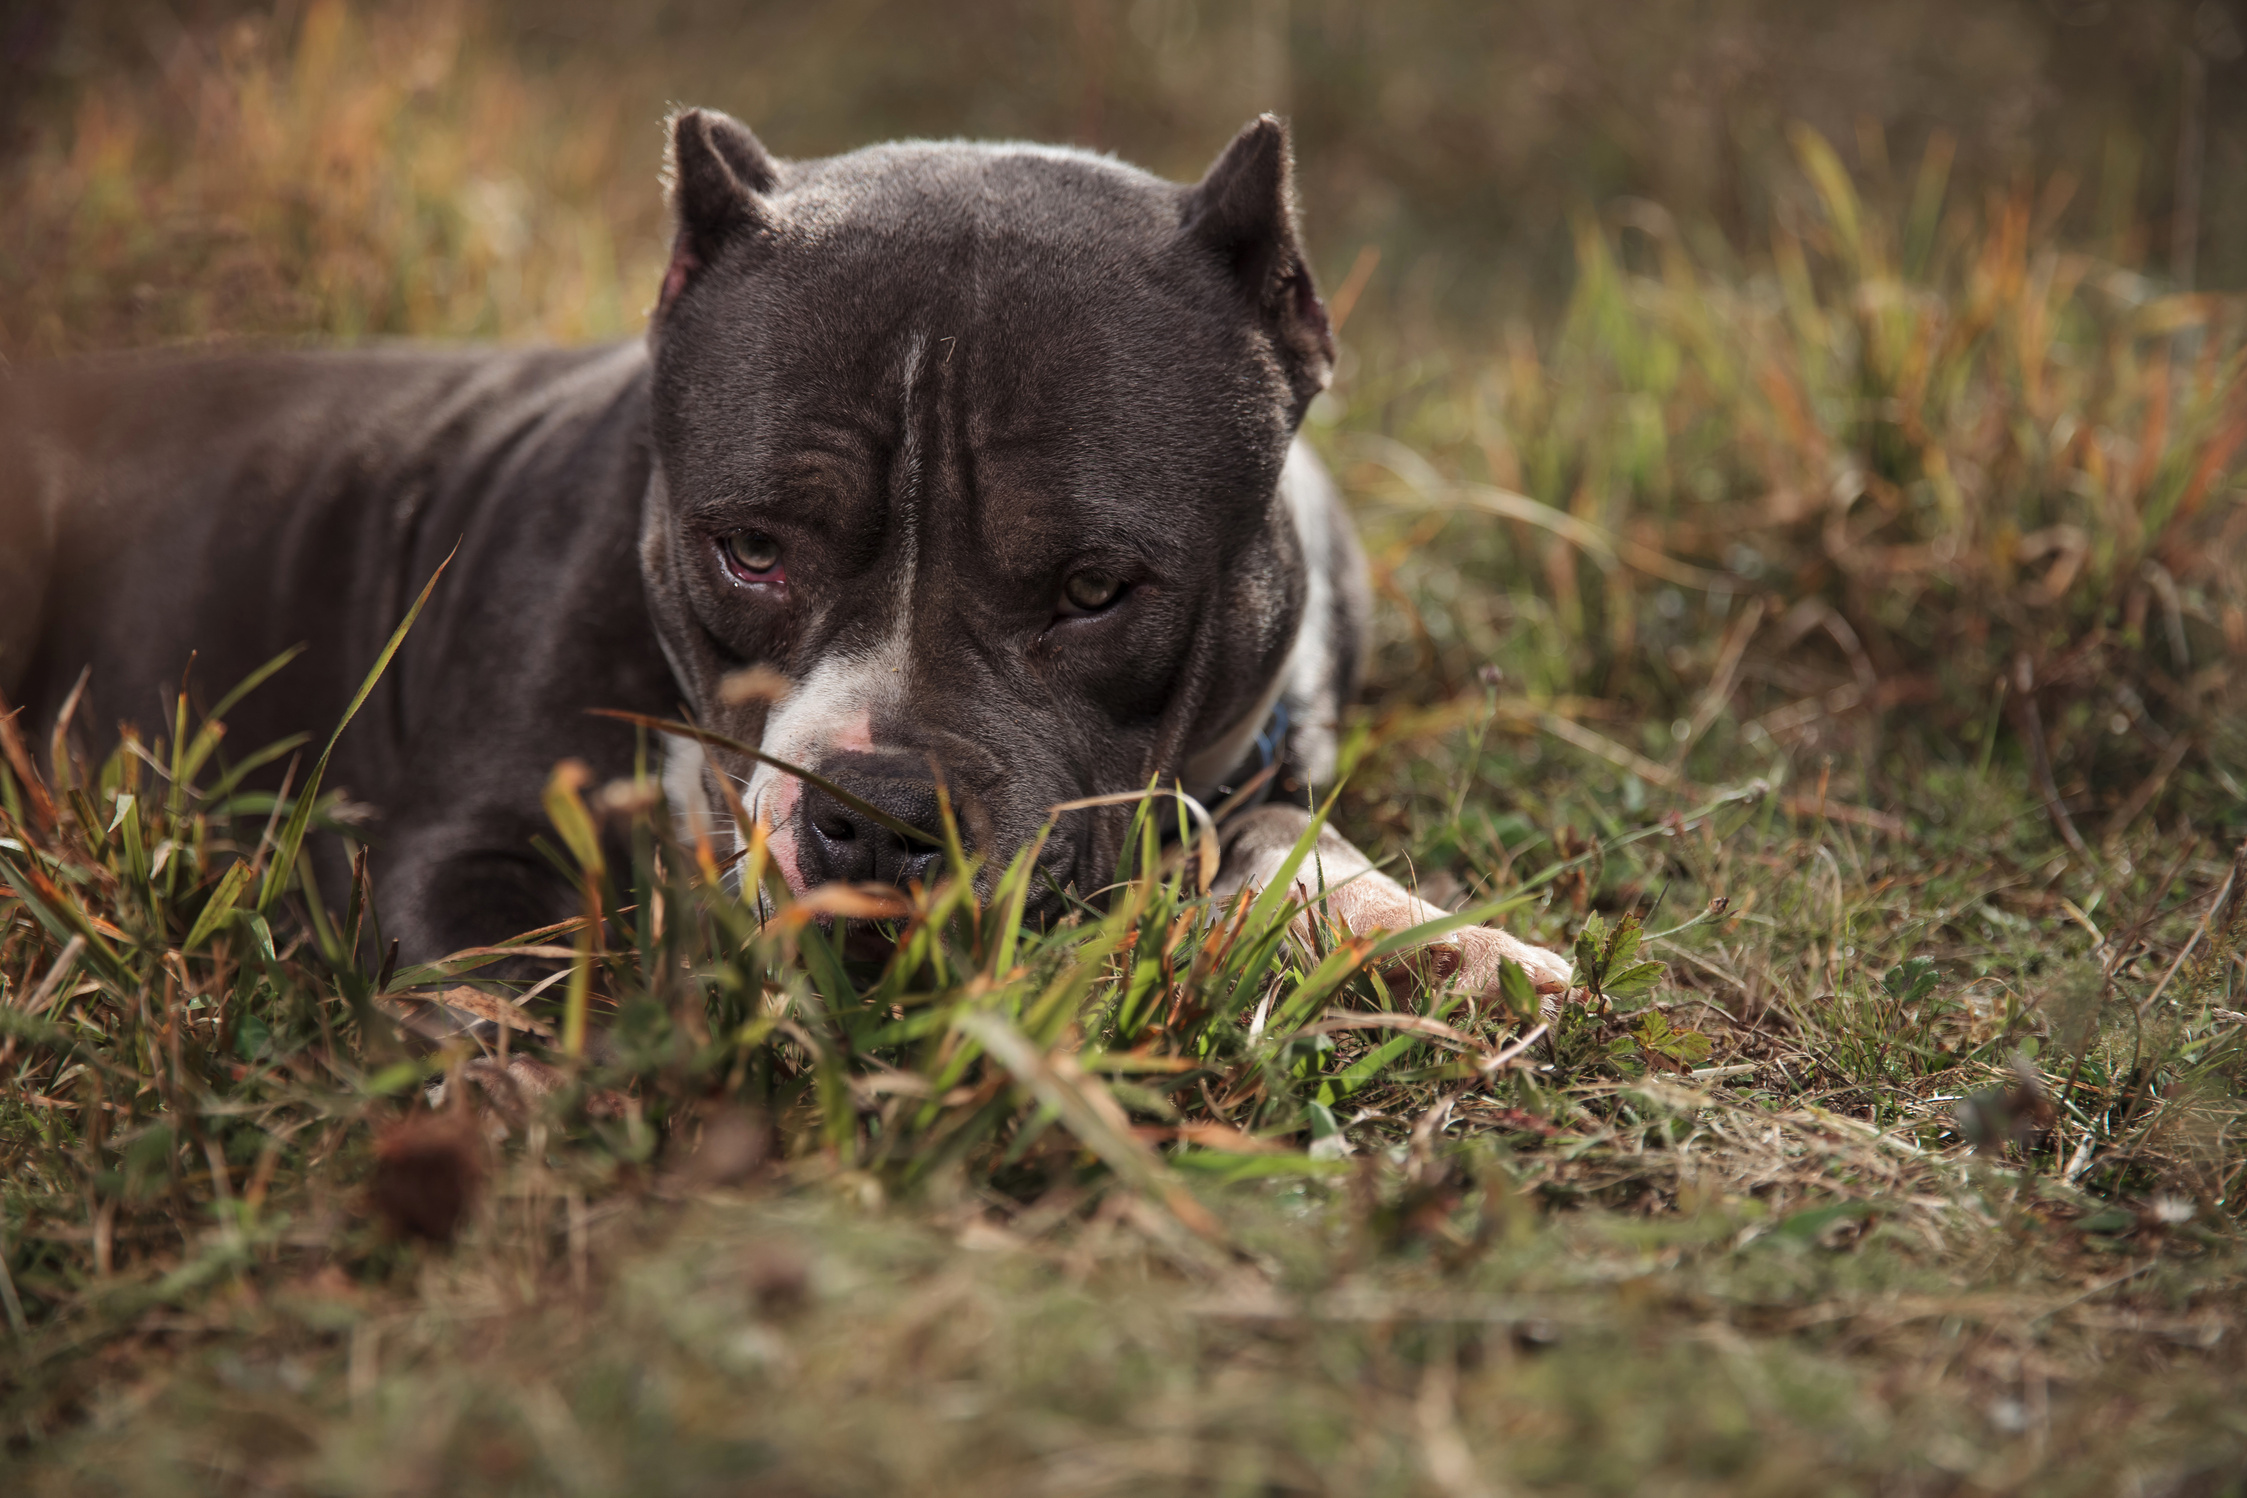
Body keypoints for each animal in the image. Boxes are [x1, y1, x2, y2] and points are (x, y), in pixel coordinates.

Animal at [0, 108, 1572, 1006]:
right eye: (749, 549)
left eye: (1095, 590)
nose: (874, 816)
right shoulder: (471, 841)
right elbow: (520, 1001)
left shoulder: (1245, 769)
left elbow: (1290, 849)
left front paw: (1442, 939)